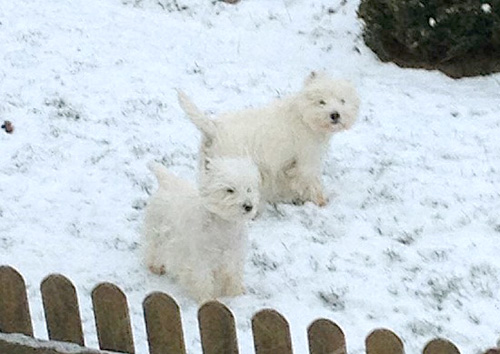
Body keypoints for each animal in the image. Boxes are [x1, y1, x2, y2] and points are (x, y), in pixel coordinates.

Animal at [143, 158, 260, 304]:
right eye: (230, 190)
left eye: (249, 189)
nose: (248, 206)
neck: (224, 224)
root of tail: (166, 182)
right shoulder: (201, 257)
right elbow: (203, 279)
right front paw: (206, 299)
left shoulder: (234, 254)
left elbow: (234, 275)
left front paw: (236, 294)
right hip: (157, 231)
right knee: (153, 249)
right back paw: (156, 267)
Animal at [177, 71, 360, 207]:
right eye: (321, 102)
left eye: (342, 100)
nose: (335, 115)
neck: (304, 118)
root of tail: (213, 127)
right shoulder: (307, 159)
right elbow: (311, 181)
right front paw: (320, 201)